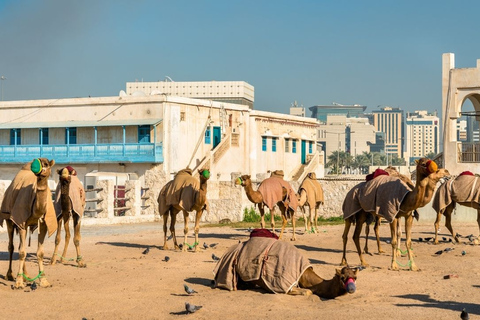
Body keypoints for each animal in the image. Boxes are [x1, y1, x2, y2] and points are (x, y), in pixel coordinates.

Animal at [0, 159, 57, 288]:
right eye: (39, 161)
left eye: (47, 164)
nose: (38, 169)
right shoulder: (21, 222)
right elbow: (22, 252)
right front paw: (18, 282)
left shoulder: (43, 225)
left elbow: (40, 252)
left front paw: (44, 280)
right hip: (9, 220)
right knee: (12, 246)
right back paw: (10, 275)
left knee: (21, 246)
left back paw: (27, 276)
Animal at [214, 230, 356, 300]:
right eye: (342, 277)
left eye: (355, 277)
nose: (352, 289)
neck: (304, 274)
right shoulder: (284, 283)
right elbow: (308, 291)